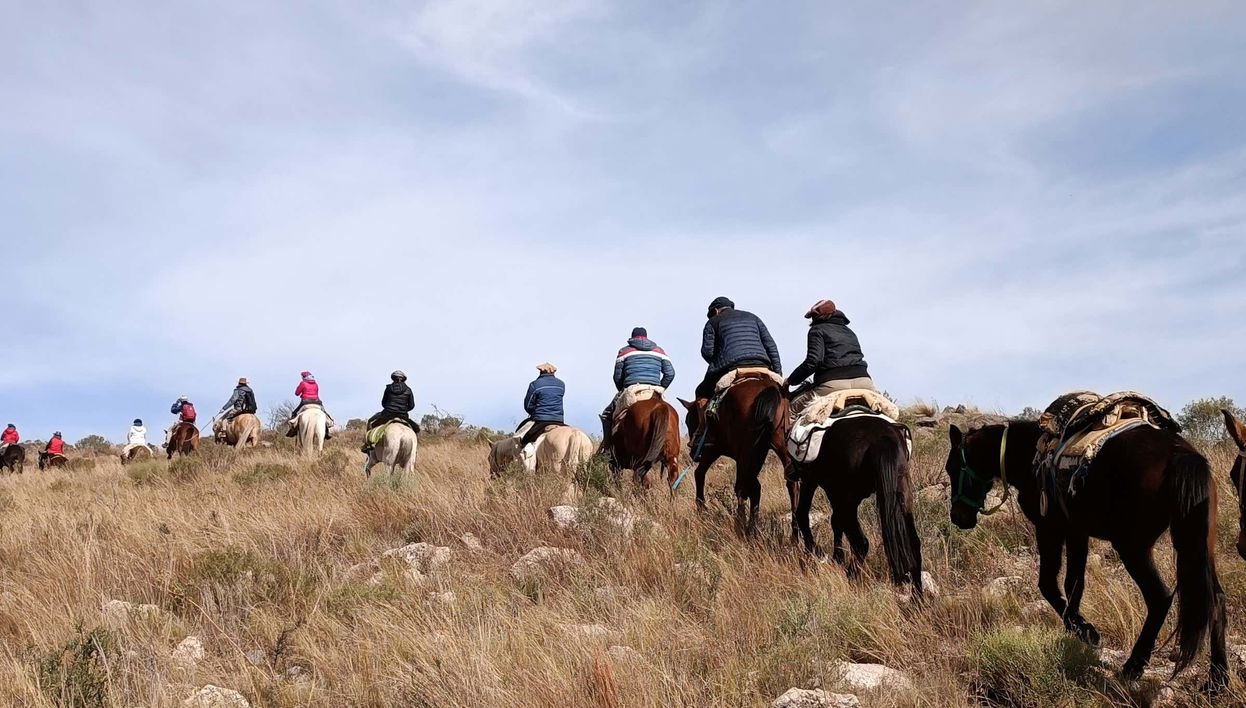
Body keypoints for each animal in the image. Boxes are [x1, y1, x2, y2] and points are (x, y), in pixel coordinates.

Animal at [679, 374, 797, 536]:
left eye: (689, 420)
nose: (692, 449)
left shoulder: (713, 450)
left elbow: (699, 473)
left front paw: (701, 507)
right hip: (777, 447)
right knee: (791, 483)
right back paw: (794, 534)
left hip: (746, 453)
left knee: (742, 487)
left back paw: (740, 527)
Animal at [793, 417, 922, 592]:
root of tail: (881, 438)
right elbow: (835, 522)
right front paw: (836, 557)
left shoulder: (812, 482)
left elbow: (803, 515)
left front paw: (816, 553)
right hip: (903, 492)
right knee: (914, 543)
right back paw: (918, 595)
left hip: (845, 499)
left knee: (861, 543)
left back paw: (851, 578)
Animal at [946, 420, 1227, 692]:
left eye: (951, 469)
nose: (957, 518)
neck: (1029, 457)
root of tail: (1181, 454)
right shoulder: (1077, 532)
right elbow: (1074, 583)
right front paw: (1080, 626)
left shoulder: (1049, 528)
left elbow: (1048, 584)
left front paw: (1084, 630)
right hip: (1199, 548)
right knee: (1215, 599)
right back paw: (1217, 680)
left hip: (1132, 547)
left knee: (1160, 597)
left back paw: (1133, 666)